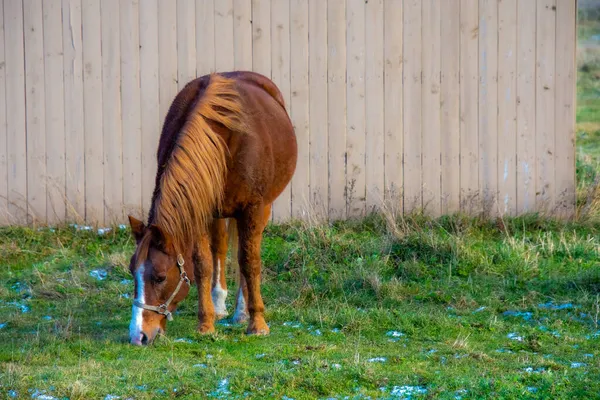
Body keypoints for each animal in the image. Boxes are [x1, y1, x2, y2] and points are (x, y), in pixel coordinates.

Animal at [127, 71, 298, 344]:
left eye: (160, 277)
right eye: (132, 272)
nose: (138, 335)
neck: (222, 140)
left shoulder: (253, 208)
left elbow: (249, 261)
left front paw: (257, 323)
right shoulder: (198, 208)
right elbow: (202, 264)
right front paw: (206, 323)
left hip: (260, 209)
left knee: (244, 253)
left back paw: (241, 311)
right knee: (220, 246)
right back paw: (218, 305)